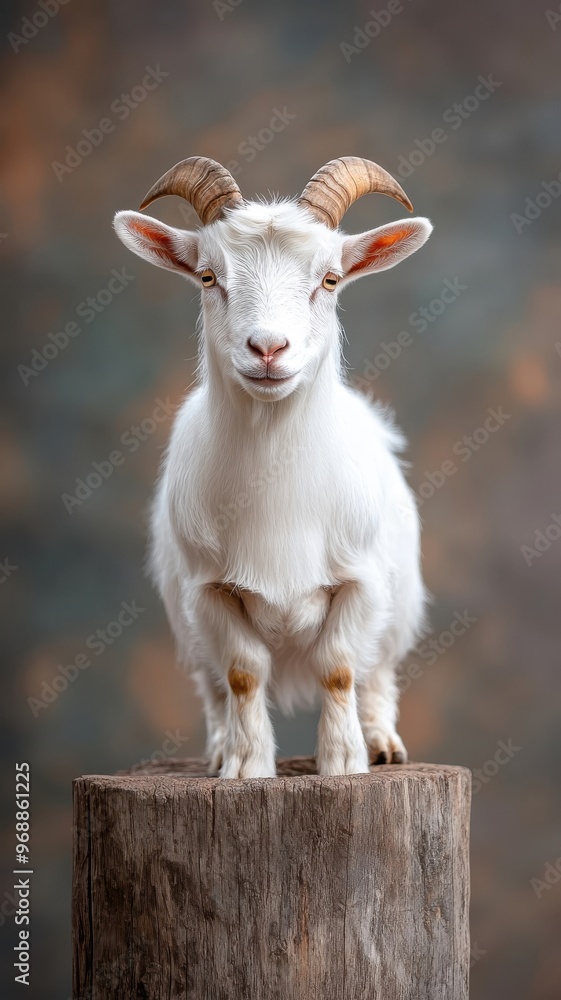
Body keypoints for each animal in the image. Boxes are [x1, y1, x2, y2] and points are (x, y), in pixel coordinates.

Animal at [114, 155, 432, 778]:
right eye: (208, 277)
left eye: (330, 279)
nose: (267, 348)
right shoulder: (208, 592)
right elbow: (242, 672)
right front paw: (245, 766)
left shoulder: (361, 582)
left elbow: (340, 666)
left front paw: (344, 760)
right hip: (185, 622)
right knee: (213, 686)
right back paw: (217, 749)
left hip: (400, 602)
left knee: (377, 672)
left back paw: (381, 742)